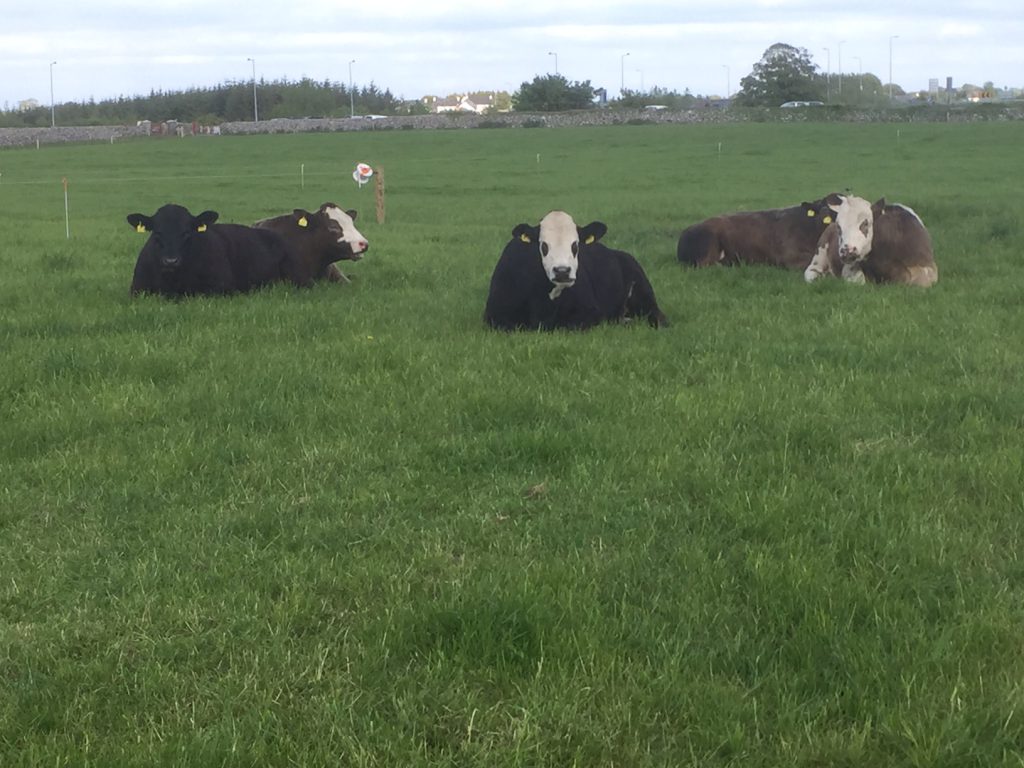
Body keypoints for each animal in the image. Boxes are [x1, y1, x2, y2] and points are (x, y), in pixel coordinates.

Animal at [803, 195, 938, 287]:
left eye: (865, 223)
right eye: (838, 226)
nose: (847, 251)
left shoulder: (927, 268)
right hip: (819, 256)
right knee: (811, 272)